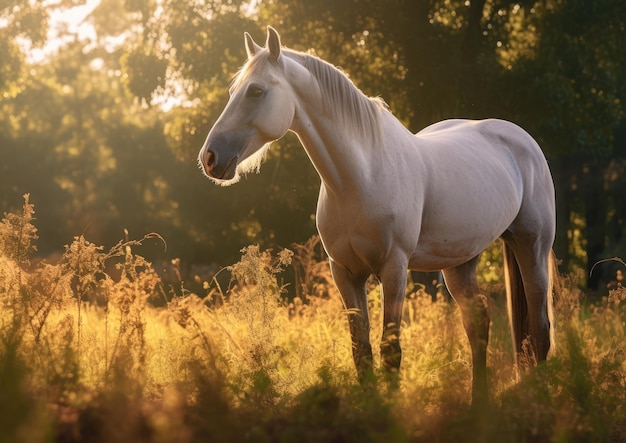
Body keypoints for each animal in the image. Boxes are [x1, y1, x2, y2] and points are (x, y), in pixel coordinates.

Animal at [197, 26, 552, 404]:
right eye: (233, 91)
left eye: (256, 90)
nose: (210, 158)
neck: (361, 176)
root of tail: (520, 139)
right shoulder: (345, 273)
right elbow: (361, 350)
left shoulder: (393, 269)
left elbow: (390, 350)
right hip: (460, 262)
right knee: (479, 323)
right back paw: (478, 404)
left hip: (532, 247)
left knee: (540, 327)